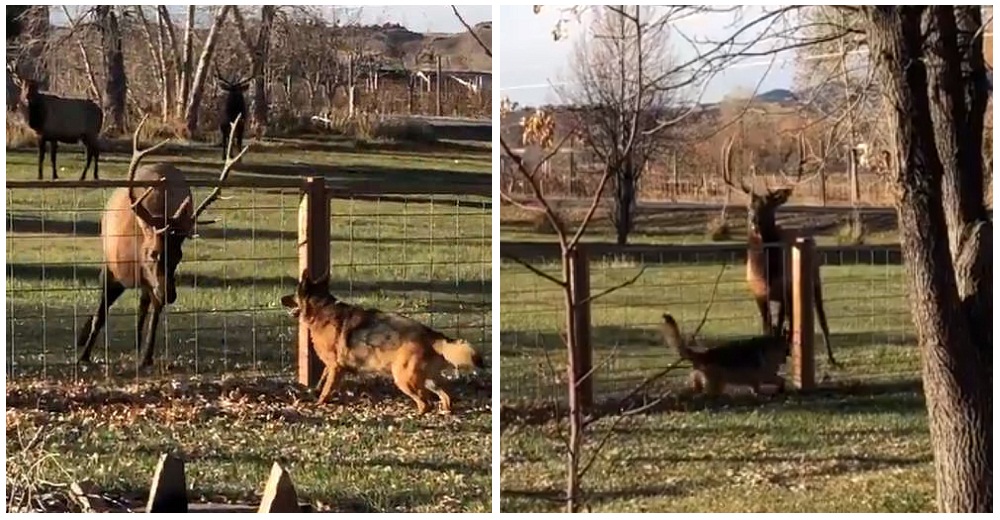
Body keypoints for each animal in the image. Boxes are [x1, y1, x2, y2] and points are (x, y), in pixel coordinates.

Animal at [76, 116, 250, 368]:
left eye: (179, 256)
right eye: (153, 253)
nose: (171, 295)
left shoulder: (156, 281)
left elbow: (152, 314)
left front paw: (145, 356)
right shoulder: (110, 269)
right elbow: (100, 314)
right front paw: (83, 354)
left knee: (143, 307)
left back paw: (138, 345)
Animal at [282, 272, 484, 414]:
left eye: (293, 294)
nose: (281, 298)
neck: (321, 308)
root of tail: (433, 336)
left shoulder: (335, 367)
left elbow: (326, 389)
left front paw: (320, 402)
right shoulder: (333, 367)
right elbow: (323, 381)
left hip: (404, 379)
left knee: (425, 403)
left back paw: (418, 415)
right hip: (428, 380)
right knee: (445, 396)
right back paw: (445, 412)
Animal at [660, 314, 792, 396]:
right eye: (786, 347)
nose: (787, 357)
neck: (771, 346)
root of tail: (704, 354)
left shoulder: (756, 379)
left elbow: (757, 387)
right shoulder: (767, 376)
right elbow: (781, 379)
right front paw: (780, 389)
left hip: (704, 379)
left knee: (696, 386)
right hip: (716, 383)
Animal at [724, 136, 840, 368]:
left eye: (768, 207)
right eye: (749, 207)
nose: (753, 222)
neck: (766, 273)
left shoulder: (785, 289)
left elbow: (778, 328)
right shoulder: (758, 293)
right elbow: (768, 328)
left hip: (814, 280)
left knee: (820, 318)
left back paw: (831, 358)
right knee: (792, 322)